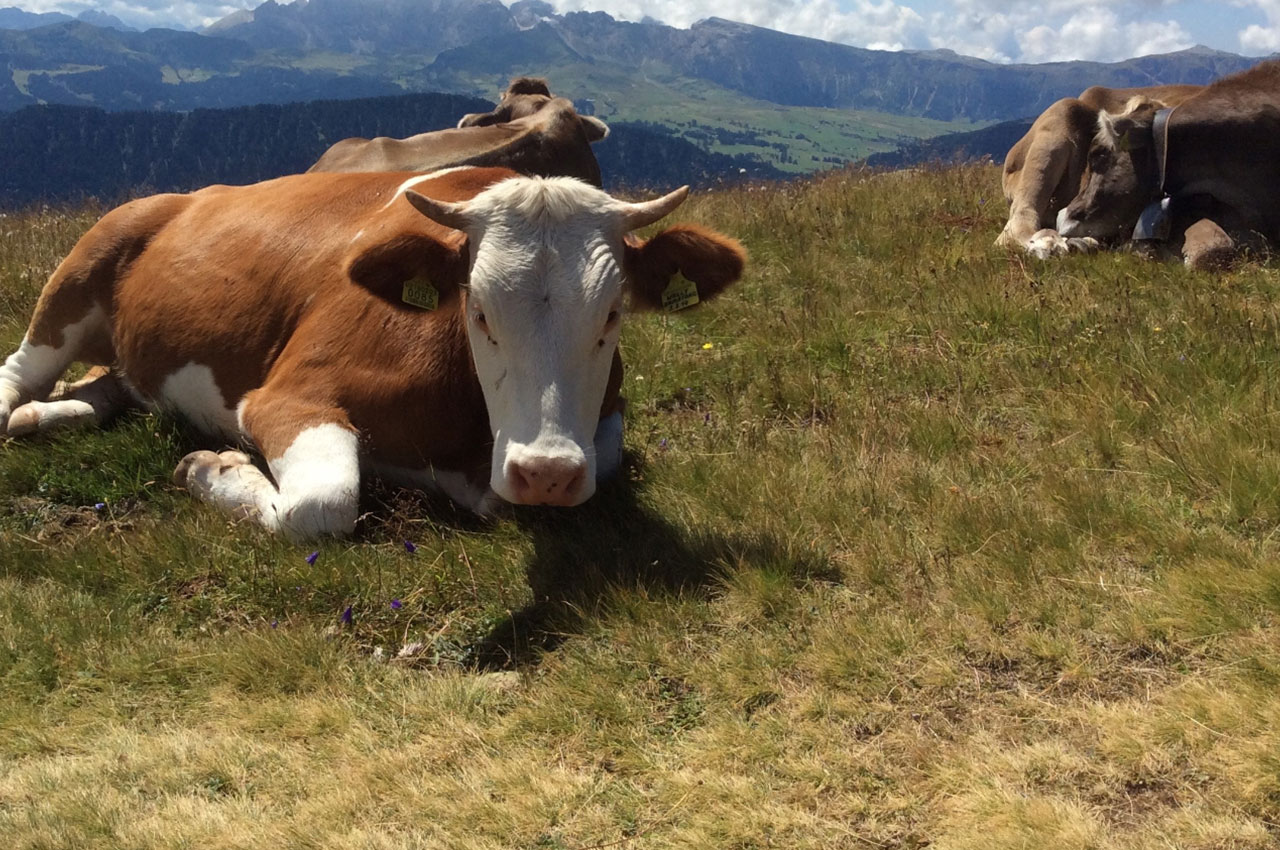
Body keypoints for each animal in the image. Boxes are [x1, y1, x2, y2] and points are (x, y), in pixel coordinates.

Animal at [0, 166, 747, 537]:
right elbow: (321, 506)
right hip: (81, 269)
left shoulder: (601, 423)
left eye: (613, 312)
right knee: (19, 372)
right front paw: (214, 467)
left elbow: (604, 459)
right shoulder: (288, 396)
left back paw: (52, 415)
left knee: (111, 379)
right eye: (478, 310)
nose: (547, 472)